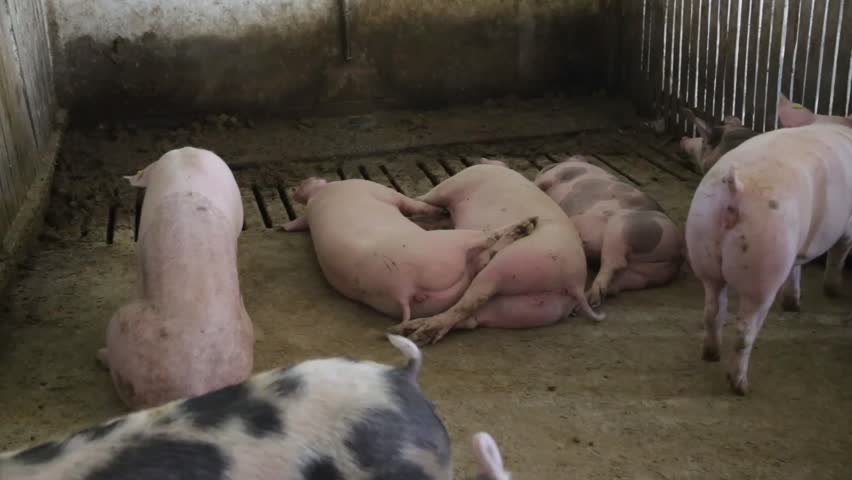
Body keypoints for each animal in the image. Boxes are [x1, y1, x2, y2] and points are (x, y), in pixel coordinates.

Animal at [281, 177, 538, 322]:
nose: (298, 186)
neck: (318, 195)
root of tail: (403, 287)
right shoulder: (375, 188)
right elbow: (410, 203)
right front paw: (437, 211)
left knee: (483, 260)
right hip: (447, 245)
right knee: (486, 239)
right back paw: (527, 224)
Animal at [390, 160, 604, 346]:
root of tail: (574, 283)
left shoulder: (452, 185)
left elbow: (424, 198)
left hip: (514, 263)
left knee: (473, 298)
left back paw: (418, 332)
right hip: (532, 308)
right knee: (472, 318)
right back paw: (409, 330)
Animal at [534, 156, 683, 306]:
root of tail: (677, 254)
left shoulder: (559, 173)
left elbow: (541, 182)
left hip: (621, 228)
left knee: (614, 263)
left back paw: (591, 300)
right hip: (647, 274)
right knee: (617, 283)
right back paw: (586, 302)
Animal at [685, 96, 852, 395]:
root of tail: (734, 189)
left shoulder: (796, 247)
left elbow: (797, 268)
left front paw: (793, 305)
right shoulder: (848, 223)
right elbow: (839, 251)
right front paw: (833, 292)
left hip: (702, 241)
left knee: (712, 309)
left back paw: (710, 355)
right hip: (763, 265)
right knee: (744, 332)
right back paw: (741, 386)